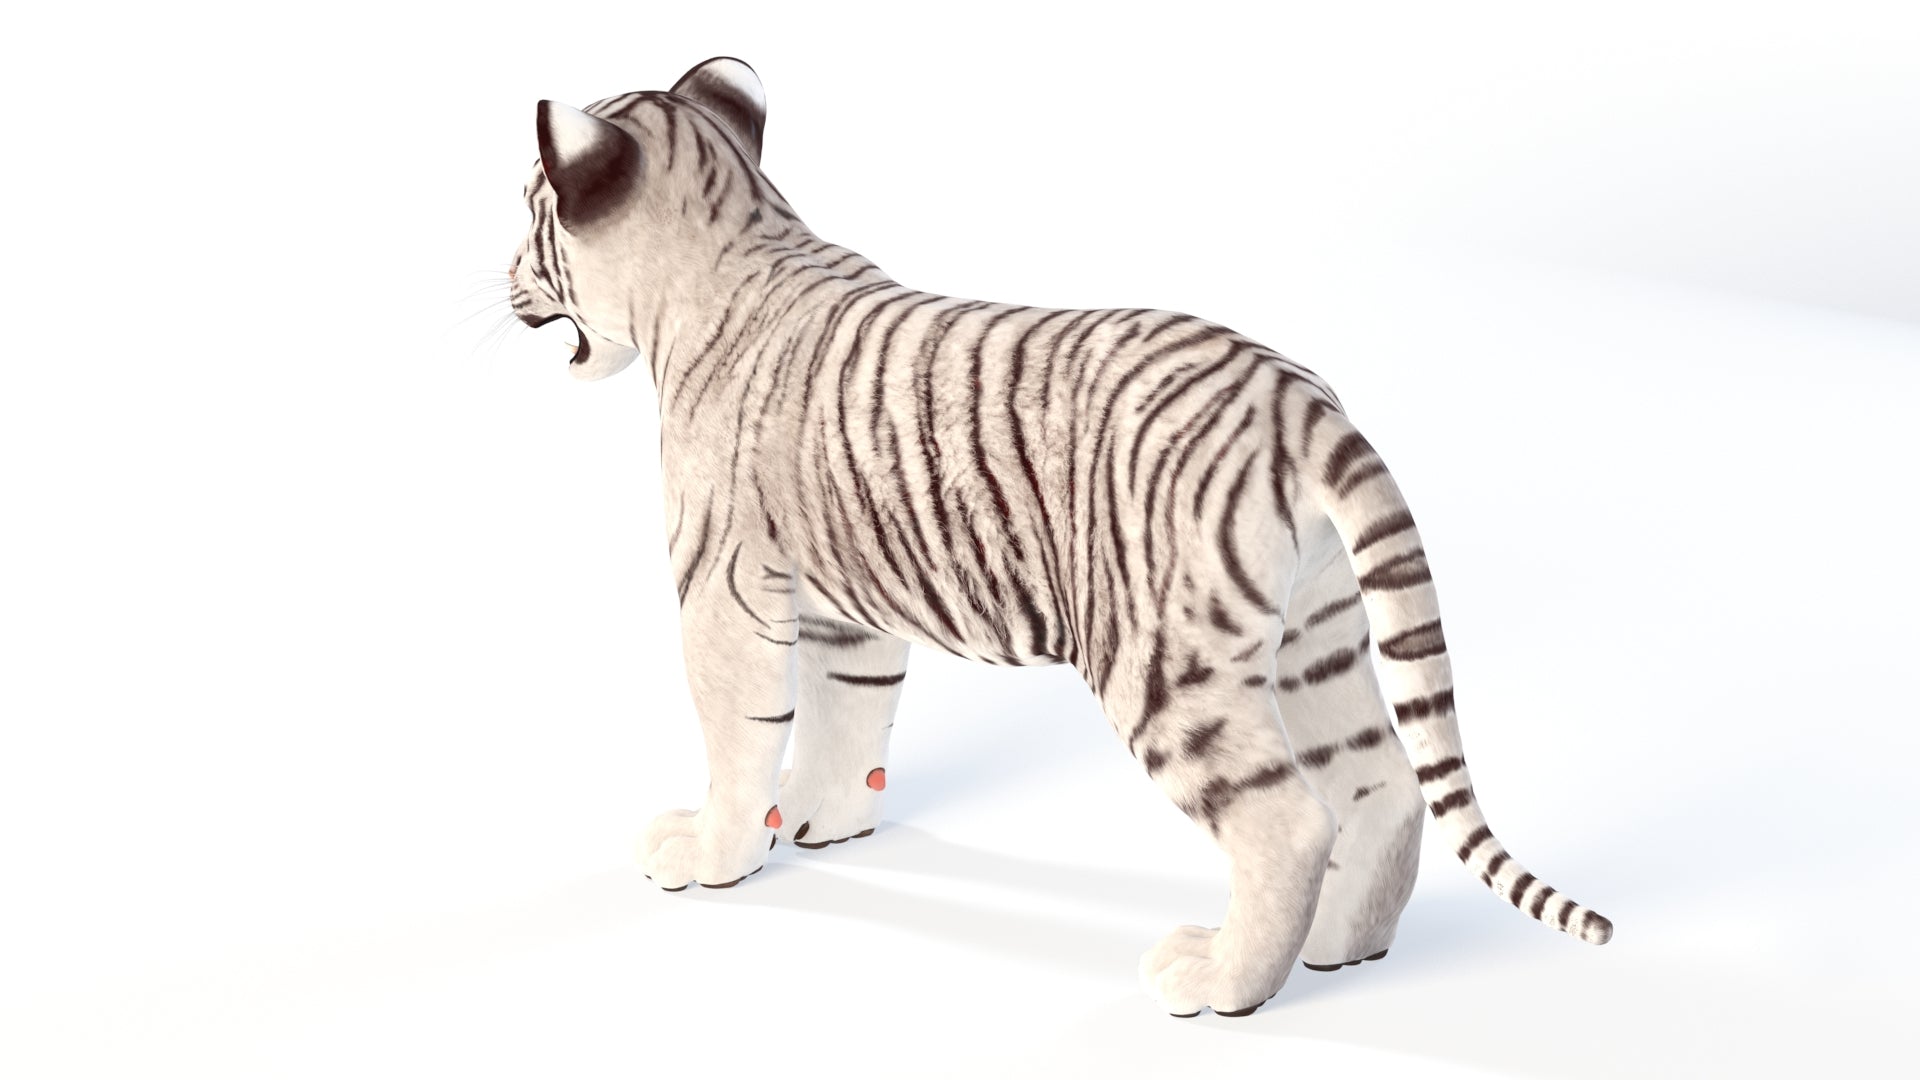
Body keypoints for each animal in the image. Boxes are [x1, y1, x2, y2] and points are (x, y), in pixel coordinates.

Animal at [504, 56, 1612, 1018]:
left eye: (530, 208)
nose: (508, 274)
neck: (729, 235)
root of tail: (1294, 401)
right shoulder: (845, 605)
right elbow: (845, 719)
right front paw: (820, 825)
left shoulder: (724, 589)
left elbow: (737, 731)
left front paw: (711, 855)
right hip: (1317, 637)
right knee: (1382, 786)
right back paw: (1343, 947)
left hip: (1167, 667)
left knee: (1290, 819)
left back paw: (1221, 982)